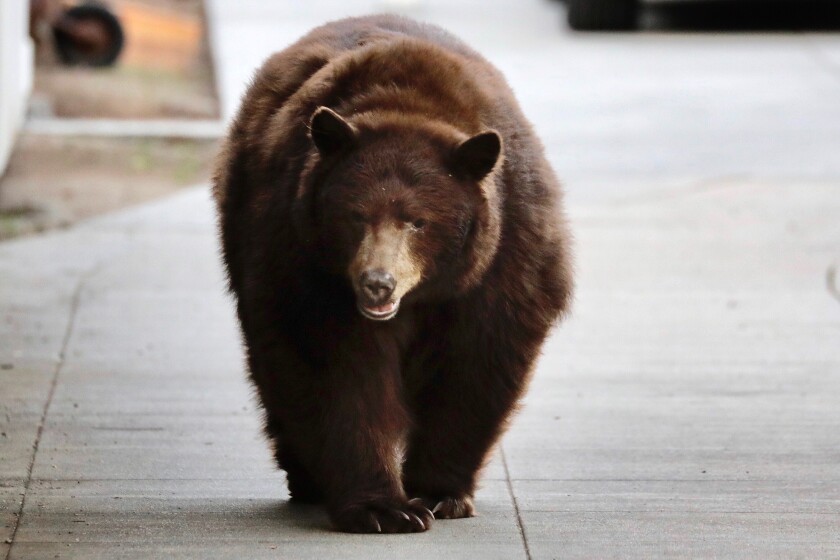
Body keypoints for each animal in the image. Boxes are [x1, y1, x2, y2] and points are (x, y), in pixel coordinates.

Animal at [213, 14, 576, 532]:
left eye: (418, 221)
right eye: (354, 216)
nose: (377, 283)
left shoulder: (505, 256)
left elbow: (477, 362)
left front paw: (440, 493)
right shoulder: (301, 255)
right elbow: (334, 366)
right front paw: (382, 508)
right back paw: (306, 480)